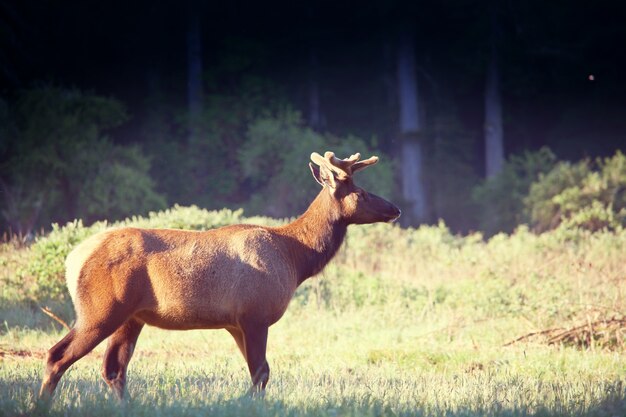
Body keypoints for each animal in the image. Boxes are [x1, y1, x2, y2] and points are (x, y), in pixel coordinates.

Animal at [40, 150, 400, 400]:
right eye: (361, 193)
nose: (395, 209)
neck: (295, 258)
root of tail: (72, 261)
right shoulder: (255, 315)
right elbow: (261, 373)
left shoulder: (234, 323)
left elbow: (260, 373)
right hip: (100, 310)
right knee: (58, 356)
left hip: (131, 317)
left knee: (113, 369)